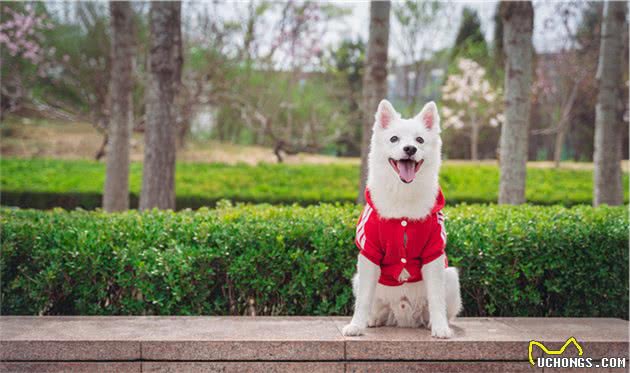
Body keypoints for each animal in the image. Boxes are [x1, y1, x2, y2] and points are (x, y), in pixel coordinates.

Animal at [346, 99, 464, 338]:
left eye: (420, 140)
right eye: (394, 139)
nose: (410, 149)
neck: (403, 193)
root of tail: (403, 314)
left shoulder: (434, 253)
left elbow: (436, 299)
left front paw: (440, 328)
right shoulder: (369, 253)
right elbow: (362, 301)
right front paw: (356, 326)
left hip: (450, 277)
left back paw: (432, 323)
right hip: (358, 279)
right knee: (375, 306)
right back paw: (372, 320)